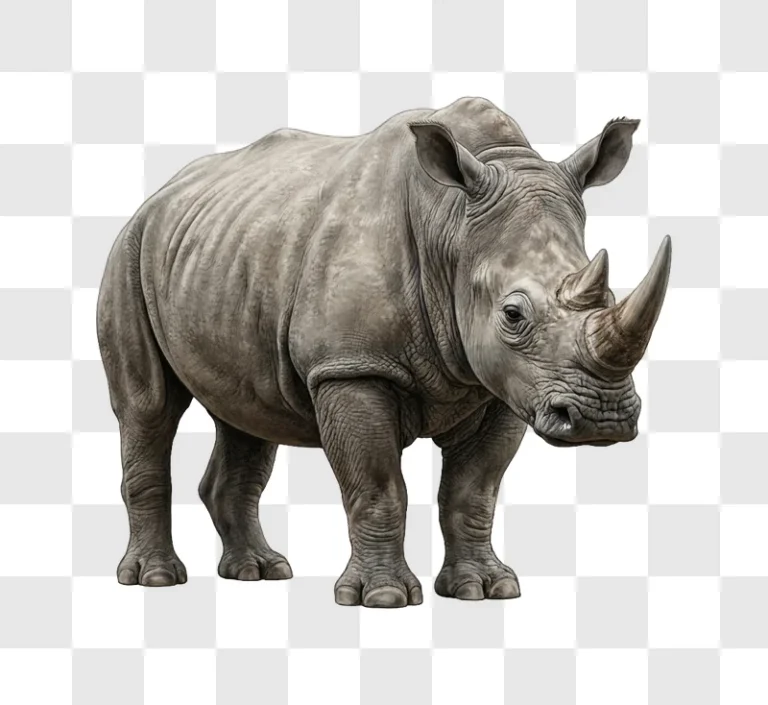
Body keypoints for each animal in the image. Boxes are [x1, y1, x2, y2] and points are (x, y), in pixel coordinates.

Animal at [97, 97, 671, 608]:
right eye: (512, 314)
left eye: (611, 297)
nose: (602, 419)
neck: (452, 226)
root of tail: (161, 194)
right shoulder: (351, 368)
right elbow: (377, 487)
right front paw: (384, 598)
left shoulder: (507, 385)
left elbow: (473, 491)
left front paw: (485, 589)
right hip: (129, 251)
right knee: (148, 408)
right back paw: (156, 579)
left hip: (225, 254)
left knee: (246, 415)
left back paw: (259, 572)